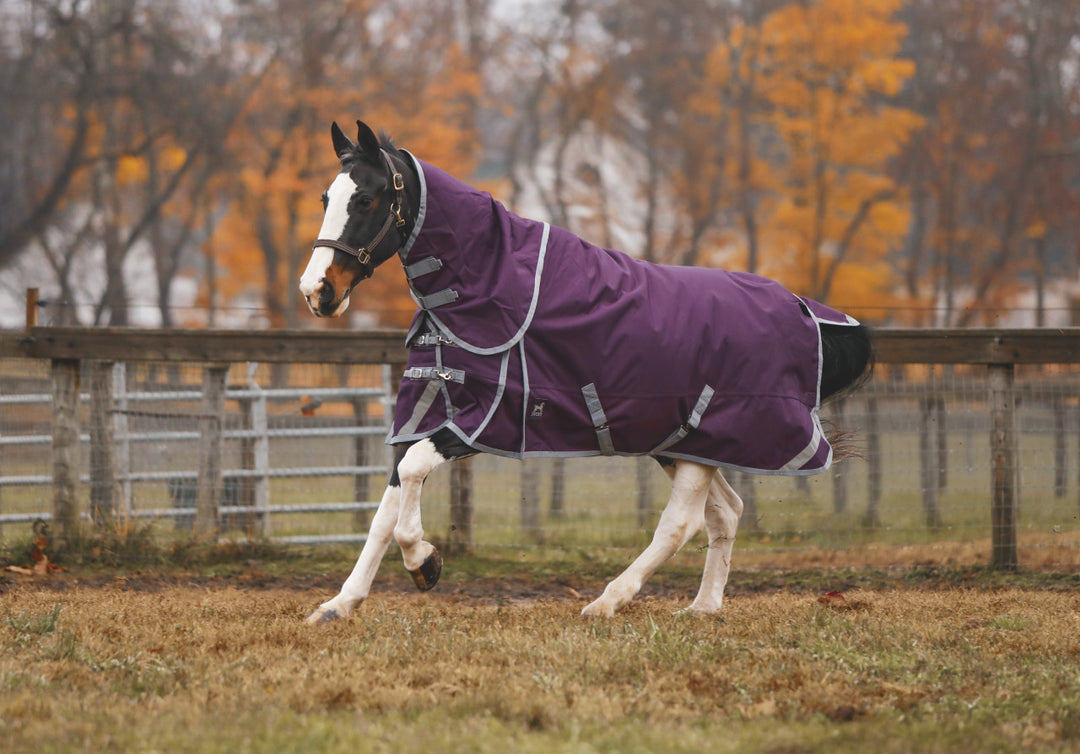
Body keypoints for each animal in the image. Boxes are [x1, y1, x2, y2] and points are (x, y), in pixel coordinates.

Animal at [298, 118, 868, 622]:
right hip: (686, 444)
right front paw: (338, 605)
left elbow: (412, 477)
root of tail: (806, 311)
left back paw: (607, 603)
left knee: (680, 524)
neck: (487, 287)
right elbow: (386, 508)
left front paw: (426, 563)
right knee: (725, 513)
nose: (316, 291)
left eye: (366, 199)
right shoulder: (429, 408)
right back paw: (702, 608)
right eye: (326, 199)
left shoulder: (483, 421)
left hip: (705, 441)